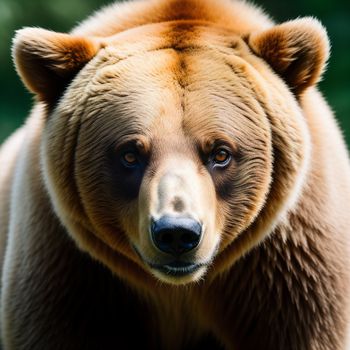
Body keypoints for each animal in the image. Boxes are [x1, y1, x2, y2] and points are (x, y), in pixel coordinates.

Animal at [0, 0, 350, 348]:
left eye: (220, 152)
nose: (177, 233)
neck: (177, 291)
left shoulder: (288, 268)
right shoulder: (69, 268)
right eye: (130, 153)